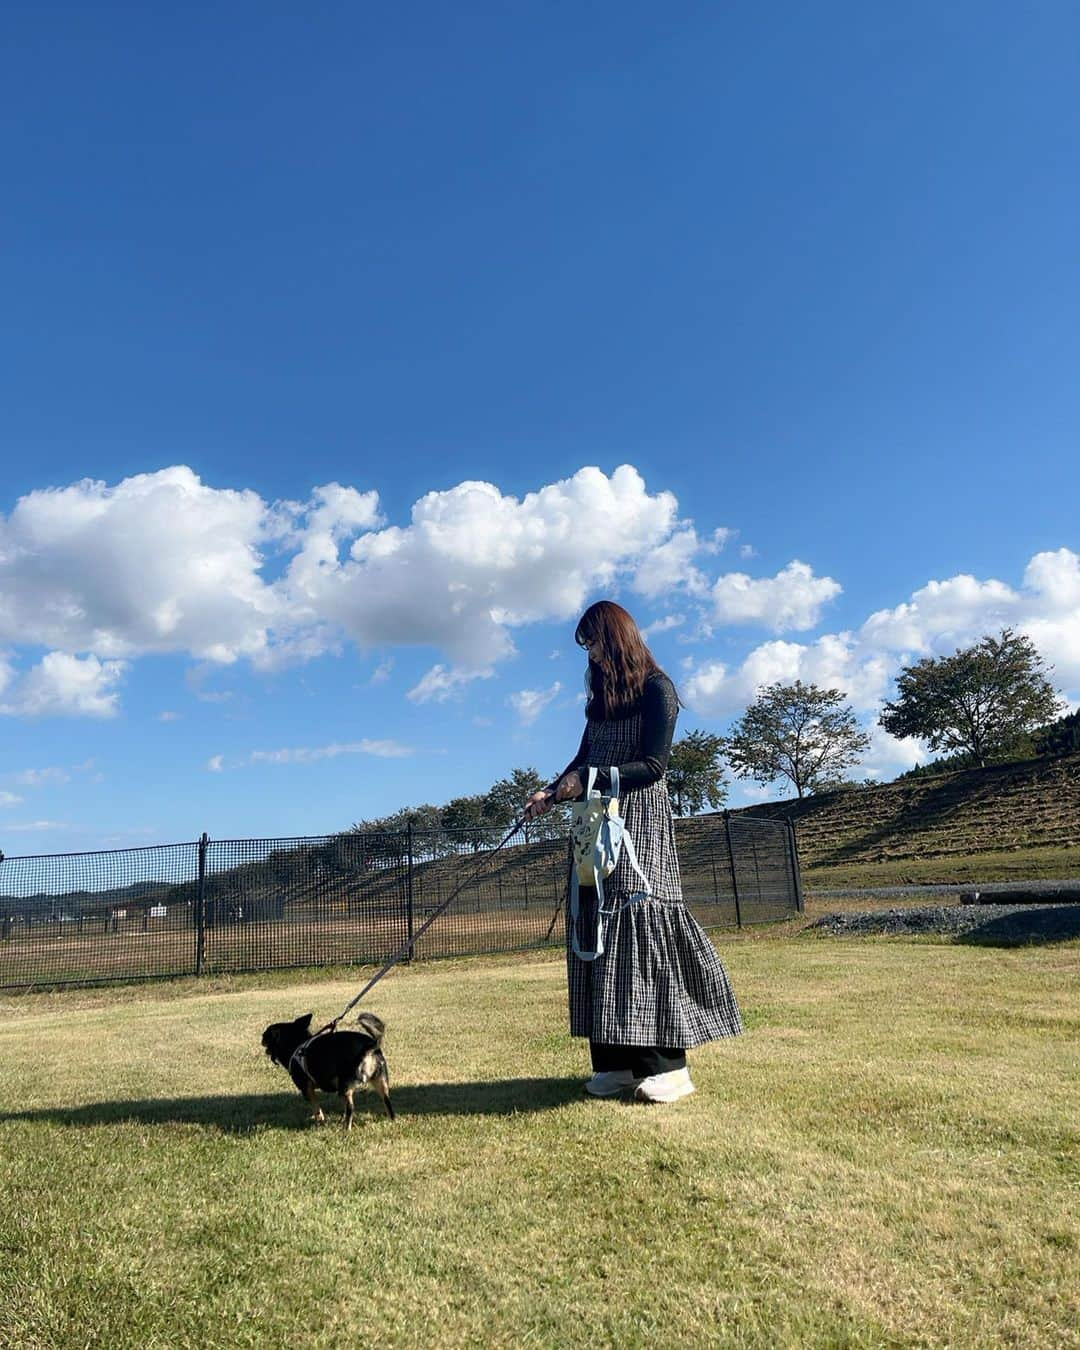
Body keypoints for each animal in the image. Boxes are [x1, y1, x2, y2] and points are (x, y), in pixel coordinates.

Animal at [259, 1015, 394, 1128]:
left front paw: (320, 1122)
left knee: (351, 1108)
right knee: (387, 1102)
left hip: (344, 1086)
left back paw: (346, 1129)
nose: (261, 1038)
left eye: (265, 1035)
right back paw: (391, 1121)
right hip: (380, 1081)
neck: (296, 1044)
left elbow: (317, 1109)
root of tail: (370, 1046)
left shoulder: (307, 1090)